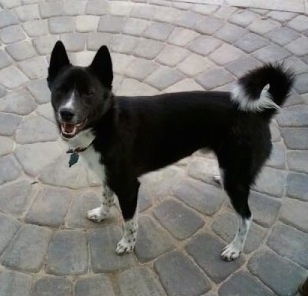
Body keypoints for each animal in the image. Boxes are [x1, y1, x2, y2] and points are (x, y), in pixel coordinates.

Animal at [48, 40, 294, 260]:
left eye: (89, 92)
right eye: (60, 89)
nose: (66, 113)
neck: (106, 125)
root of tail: (260, 111)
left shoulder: (128, 187)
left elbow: (129, 222)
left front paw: (128, 244)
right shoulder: (109, 177)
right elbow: (106, 197)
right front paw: (102, 214)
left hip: (235, 180)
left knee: (246, 217)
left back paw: (235, 249)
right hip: (233, 173)